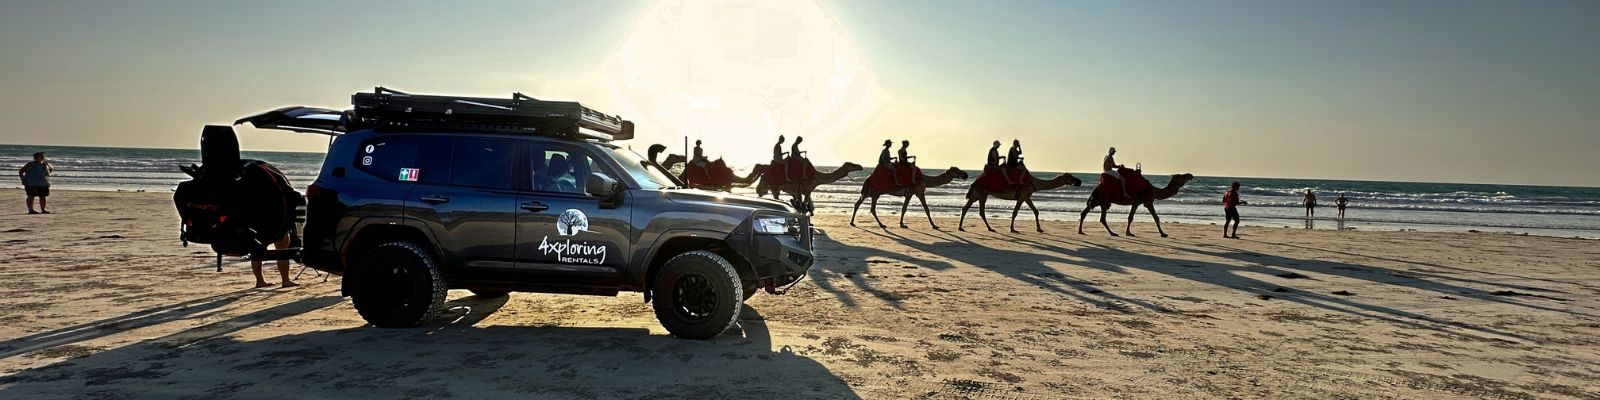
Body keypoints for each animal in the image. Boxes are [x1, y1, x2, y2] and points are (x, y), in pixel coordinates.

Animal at [953, 171, 1081, 233]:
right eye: (1069, 177)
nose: (1079, 181)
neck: (1033, 183)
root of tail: (975, 181)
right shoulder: (1022, 195)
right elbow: (1015, 212)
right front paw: (1013, 229)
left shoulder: (1027, 196)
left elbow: (1036, 211)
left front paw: (1039, 229)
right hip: (980, 193)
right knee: (976, 210)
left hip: (978, 195)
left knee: (970, 209)